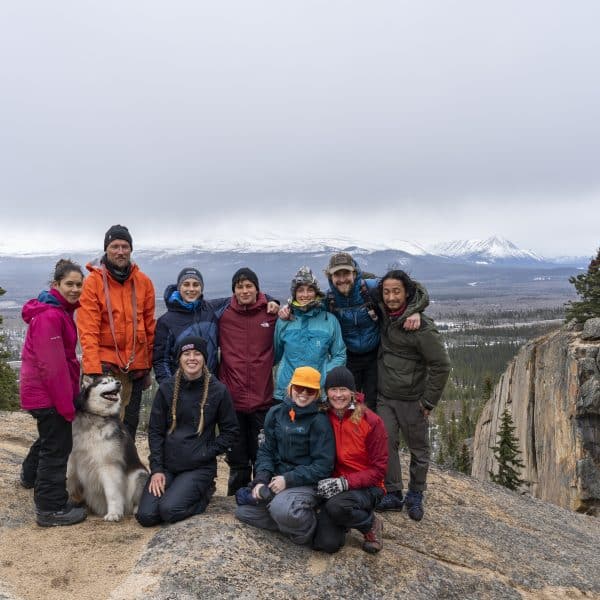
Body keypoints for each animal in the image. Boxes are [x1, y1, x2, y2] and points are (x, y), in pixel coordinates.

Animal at [66, 376, 148, 520]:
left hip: (139, 474)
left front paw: (114, 513)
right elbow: (68, 478)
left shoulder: (108, 466)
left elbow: (112, 493)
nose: (118, 383)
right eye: (104, 382)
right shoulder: (72, 460)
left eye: (114, 380)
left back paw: (136, 509)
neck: (95, 416)